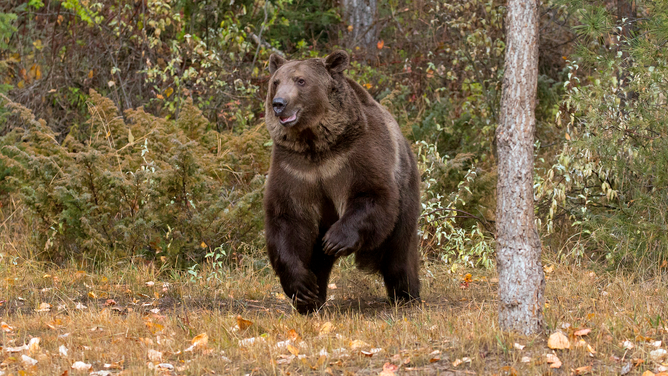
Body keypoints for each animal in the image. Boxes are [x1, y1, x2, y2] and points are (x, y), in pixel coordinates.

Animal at [264, 50, 420, 314]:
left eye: (300, 80)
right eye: (276, 82)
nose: (279, 104)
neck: (316, 144)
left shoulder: (356, 154)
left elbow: (372, 195)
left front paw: (335, 240)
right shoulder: (294, 168)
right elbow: (288, 218)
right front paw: (302, 287)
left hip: (406, 190)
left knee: (400, 253)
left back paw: (407, 295)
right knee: (317, 258)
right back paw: (311, 300)